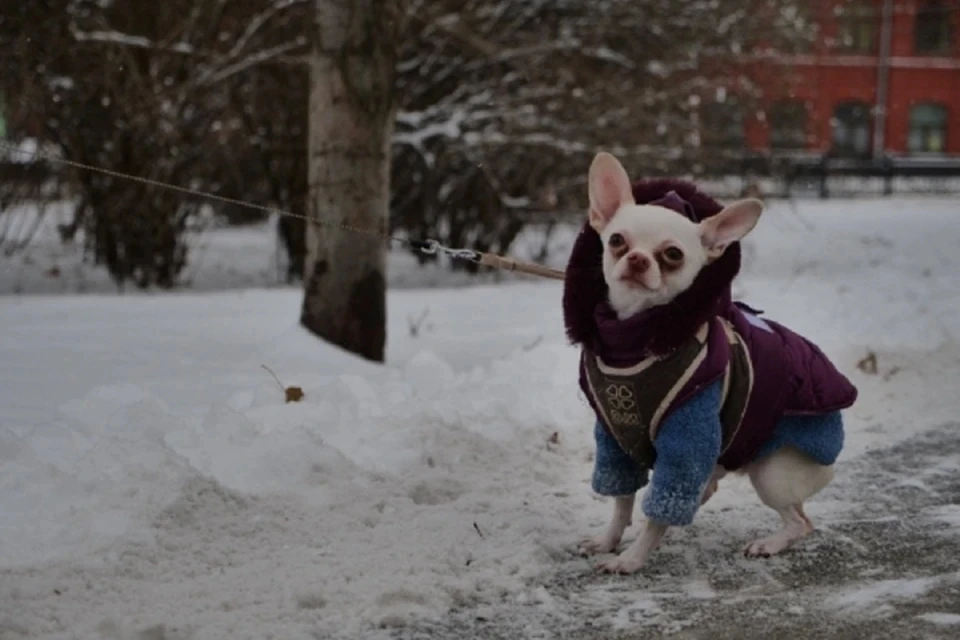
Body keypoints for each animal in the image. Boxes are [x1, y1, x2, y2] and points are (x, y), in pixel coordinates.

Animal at [568, 151, 860, 576]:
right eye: (617, 241)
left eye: (673, 254)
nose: (637, 259)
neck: (636, 341)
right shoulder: (615, 443)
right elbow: (622, 501)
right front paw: (609, 540)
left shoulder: (686, 446)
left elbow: (659, 509)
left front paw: (633, 557)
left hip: (772, 472)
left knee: (800, 521)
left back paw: (769, 544)